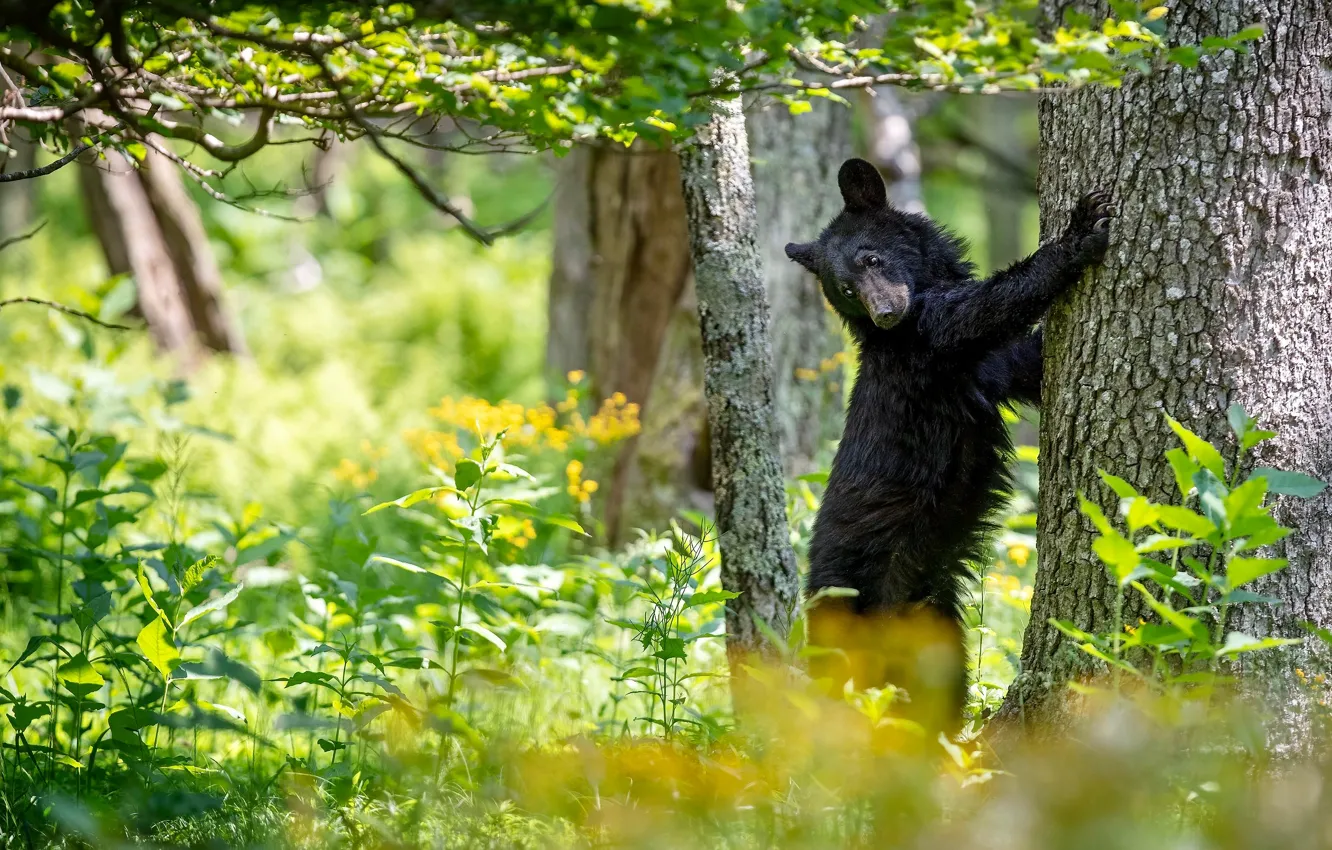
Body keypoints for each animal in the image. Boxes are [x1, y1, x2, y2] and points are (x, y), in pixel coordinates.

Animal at [783, 156, 1108, 730]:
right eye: (846, 289)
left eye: (872, 258)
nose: (886, 313)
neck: (899, 330)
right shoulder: (931, 348)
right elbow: (984, 309)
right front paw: (1081, 231)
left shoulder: (992, 367)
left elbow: (1028, 364)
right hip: (845, 620)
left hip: (931, 622)